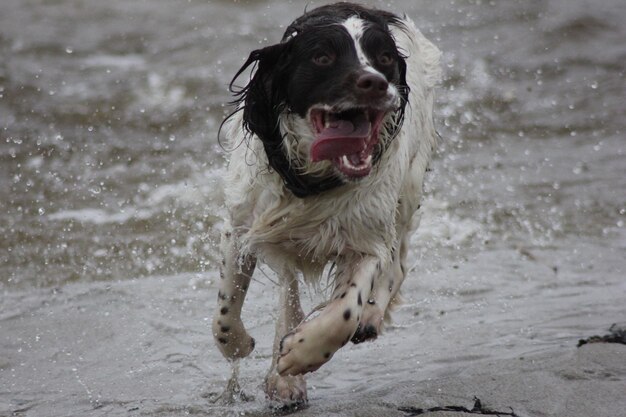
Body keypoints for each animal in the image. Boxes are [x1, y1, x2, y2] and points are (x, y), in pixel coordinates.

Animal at [212, 2, 442, 406]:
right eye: (322, 57)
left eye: (384, 58)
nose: (375, 82)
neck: (315, 181)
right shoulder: (242, 225)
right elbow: (226, 308)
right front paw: (239, 346)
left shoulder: (366, 239)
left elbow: (346, 310)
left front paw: (302, 352)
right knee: (288, 291)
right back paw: (284, 380)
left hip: (408, 192)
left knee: (397, 265)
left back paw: (366, 320)